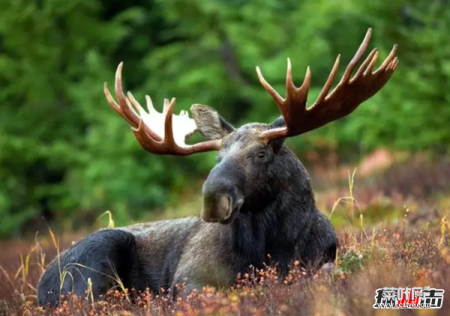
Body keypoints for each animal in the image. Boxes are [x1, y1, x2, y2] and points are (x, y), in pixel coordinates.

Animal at [37, 27, 400, 306]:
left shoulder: (322, 261)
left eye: (261, 153)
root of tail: (40, 286)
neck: (274, 246)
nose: (213, 199)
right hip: (95, 261)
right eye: (218, 157)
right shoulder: (190, 279)